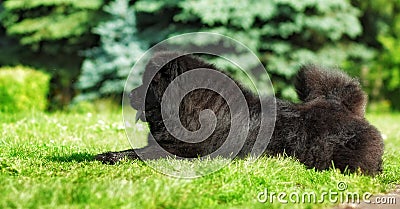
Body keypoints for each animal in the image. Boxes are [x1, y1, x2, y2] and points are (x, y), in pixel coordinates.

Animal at [94, 52, 384, 175]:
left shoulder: (186, 151)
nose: (130, 94)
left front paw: (109, 156)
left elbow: (138, 153)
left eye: (148, 84)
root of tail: (344, 107)